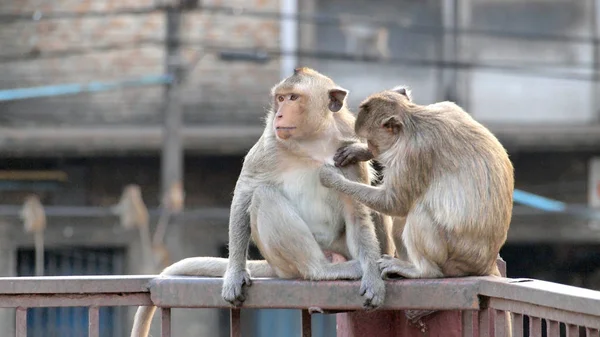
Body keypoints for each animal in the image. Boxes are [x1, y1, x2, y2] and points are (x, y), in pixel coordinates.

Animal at [130, 67, 394, 334]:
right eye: (280, 98)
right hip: (287, 261)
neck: (313, 142)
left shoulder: (347, 153)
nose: (279, 114)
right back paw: (322, 270)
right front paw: (235, 273)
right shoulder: (270, 143)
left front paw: (373, 277)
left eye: (293, 98)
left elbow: (356, 211)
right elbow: (246, 190)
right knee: (264, 195)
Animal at [322, 85, 512, 280]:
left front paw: (334, 180)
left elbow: (394, 204)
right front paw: (358, 151)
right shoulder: (448, 106)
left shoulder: (412, 153)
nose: (371, 148)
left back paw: (422, 271)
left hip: (452, 259)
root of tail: (486, 265)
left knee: (418, 211)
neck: (413, 120)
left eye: (371, 140)